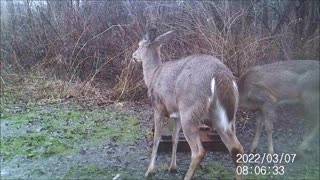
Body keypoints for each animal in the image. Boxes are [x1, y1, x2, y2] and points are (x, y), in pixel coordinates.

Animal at [131, 27, 244, 179]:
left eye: (138, 45)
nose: (133, 56)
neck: (152, 75)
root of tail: (221, 75)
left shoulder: (158, 107)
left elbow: (157, 139)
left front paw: (149, 170)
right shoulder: (176, 115)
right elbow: (174, 139)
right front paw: (172, 167)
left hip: (190, 109)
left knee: (198, 152)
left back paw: (187, 176)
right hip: (225, 116)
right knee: (237, 147)